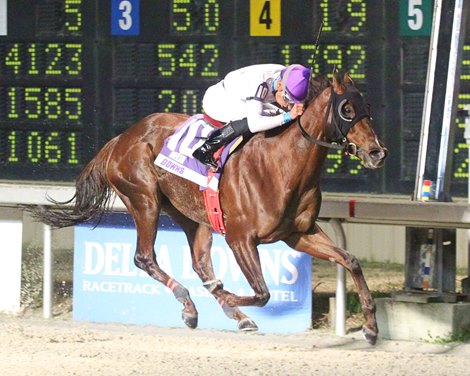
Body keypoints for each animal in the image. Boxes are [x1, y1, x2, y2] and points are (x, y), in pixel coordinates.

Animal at [32, 70, 386, 344]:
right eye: (347, 109)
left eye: (367, 106)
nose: (377, 152)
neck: (282, 165)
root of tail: (121, 138)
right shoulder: (240, 238)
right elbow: (263, 293)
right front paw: (229, 298)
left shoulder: (299, 233)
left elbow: (351, 261)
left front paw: (370, 328)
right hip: (144, 201)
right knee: (144, 257)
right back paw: (191, 304)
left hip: (193, 217)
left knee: (201, 265)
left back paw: (227, 312)